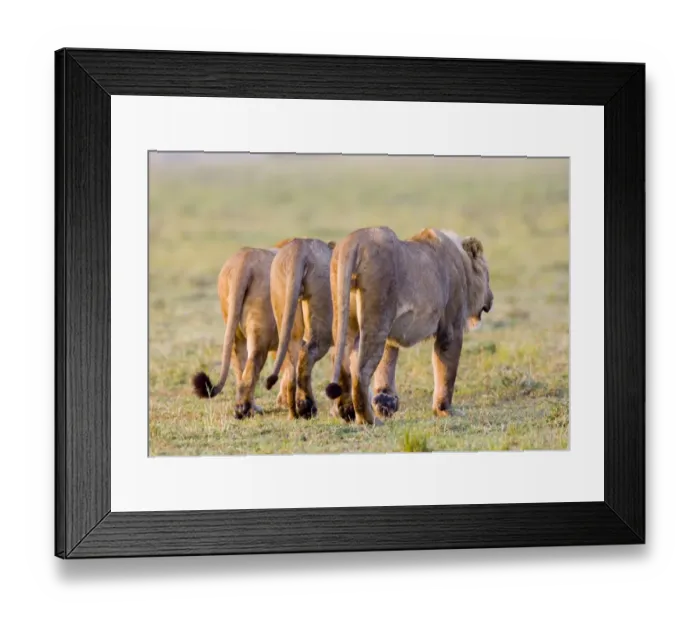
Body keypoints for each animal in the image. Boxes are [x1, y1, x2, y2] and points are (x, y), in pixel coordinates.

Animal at [191, 244, 302, 419]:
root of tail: (244, 260)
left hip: (235, 328)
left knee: (240, 366)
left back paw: (248, 408)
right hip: (260, 331)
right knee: (253, 363)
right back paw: (244, 409)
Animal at [264, 238, 336, 420]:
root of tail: (299, 249)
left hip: (283, 295)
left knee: (293, 359)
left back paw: (295, 413)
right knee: (308, 353)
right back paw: (306, 408)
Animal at [324, 226, 494, 425]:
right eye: (488, 276)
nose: (491, 298)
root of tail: (353, 242)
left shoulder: (391, 335)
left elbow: (387, 365)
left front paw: (386, 401)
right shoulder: (450, 330)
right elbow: (446, 373)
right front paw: (444, 410)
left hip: (345, 317)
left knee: (341, 362)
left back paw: (347, 412)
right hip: (377, 317)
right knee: (360, 370)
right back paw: (369, 420)